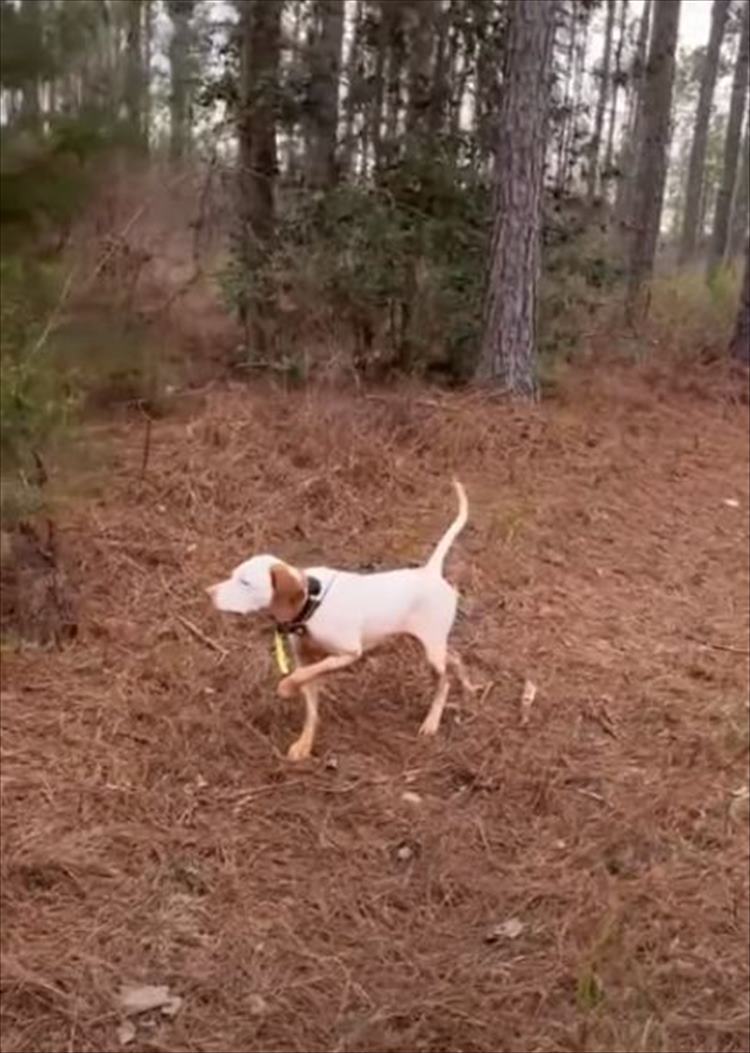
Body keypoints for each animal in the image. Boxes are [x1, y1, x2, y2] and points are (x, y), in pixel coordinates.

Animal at [205, 482, 474, 762]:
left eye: (245, 582)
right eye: (233, 575)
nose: (208, 592)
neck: (312, 601)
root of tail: (430, 572)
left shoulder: (347, 654)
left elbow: (300, 676)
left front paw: (286, 687)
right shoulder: (306, 659)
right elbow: (310, 703)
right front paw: (304, 744)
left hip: (431, 652)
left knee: (444, 681)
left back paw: (432, 721)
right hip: (430, 645)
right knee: (455, 658)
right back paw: (467, 686)